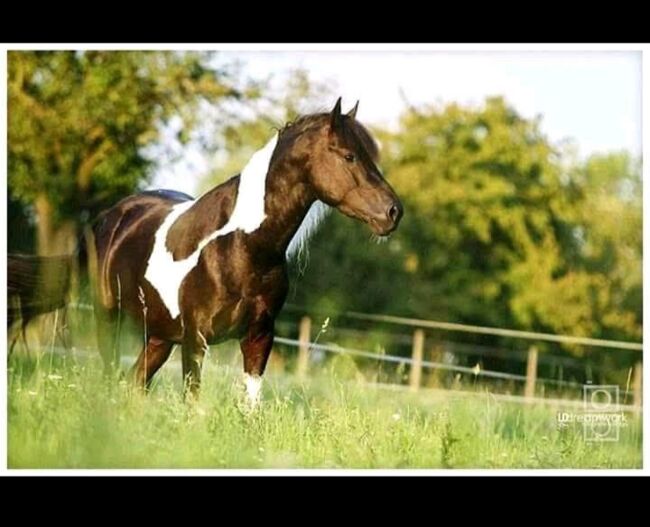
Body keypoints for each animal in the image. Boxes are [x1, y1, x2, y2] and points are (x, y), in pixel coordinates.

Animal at [12, 100, 402, 408]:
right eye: (349, 156)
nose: (393, 212)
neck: (241, 247)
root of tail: (109, 218)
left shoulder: (258, 338)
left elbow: (250, 408)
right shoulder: (195, 339)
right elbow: (192, 402)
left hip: (158, 337)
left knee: (134, 384)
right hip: (108, 319)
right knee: (109, 379)